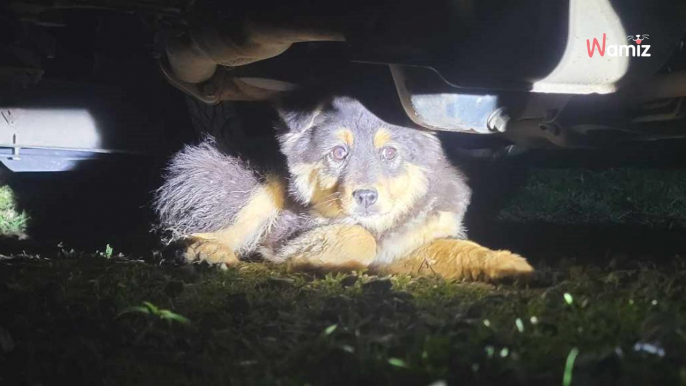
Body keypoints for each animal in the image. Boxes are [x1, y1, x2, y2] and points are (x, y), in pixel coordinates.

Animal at [153, 94, 536, 280]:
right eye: (339, 152)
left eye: (390, 153)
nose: (365, 196)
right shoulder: (292, 230)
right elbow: (358, 236)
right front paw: (316, 261)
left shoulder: (412, 240)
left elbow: (459, 248)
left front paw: (507, 264)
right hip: (260, 188)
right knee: (190, 232)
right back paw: (208, 252)